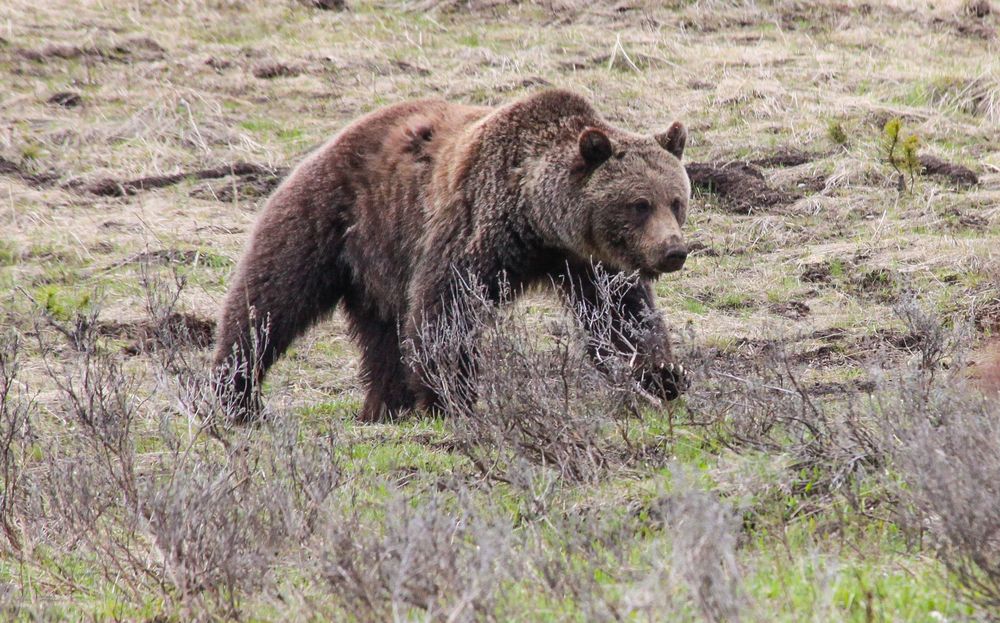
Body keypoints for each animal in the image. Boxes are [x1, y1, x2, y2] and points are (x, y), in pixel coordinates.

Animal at [215, 89, 692, 424]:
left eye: (676, 200)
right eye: (639, 204)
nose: (674, 251)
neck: (541, 224)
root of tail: (336, 137)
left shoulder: (589, 264)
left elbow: (622, 317)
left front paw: (662, 376)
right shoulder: (478, 227)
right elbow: (446, 307)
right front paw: (451, 397)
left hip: (382, 262)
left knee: (383, 335)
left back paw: (386, 406)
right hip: (331, 217)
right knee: (269, 301)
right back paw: (237, 396)